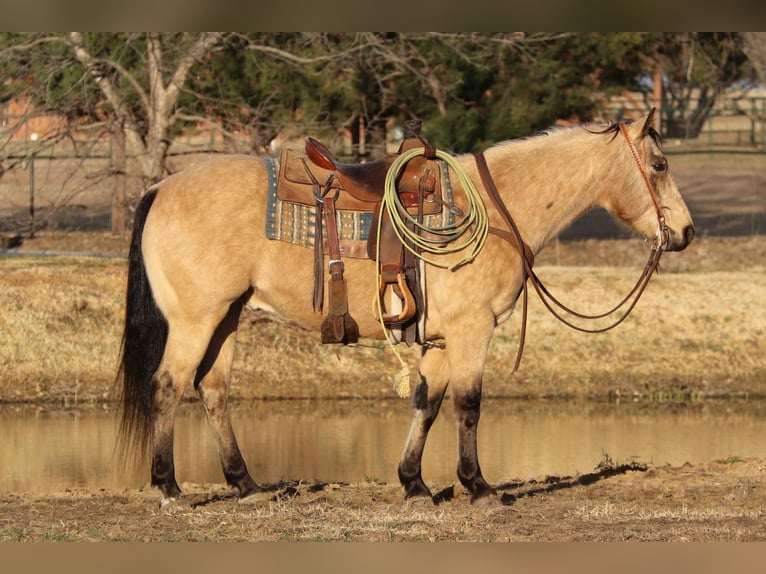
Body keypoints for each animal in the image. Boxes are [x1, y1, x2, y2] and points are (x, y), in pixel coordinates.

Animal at [118, 111, 696, 508]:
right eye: (660, 165)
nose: (686, 232)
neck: (495, 207)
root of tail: (160, 186)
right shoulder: (472, 330)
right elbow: (468, 404)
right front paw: (478, 486)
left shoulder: (440, 338)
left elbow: (428, 402)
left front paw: (414, 483)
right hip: (196, 320)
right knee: (169, 385)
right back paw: (170, 488)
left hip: (228, 317)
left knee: (213, 390)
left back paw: (246, 484)